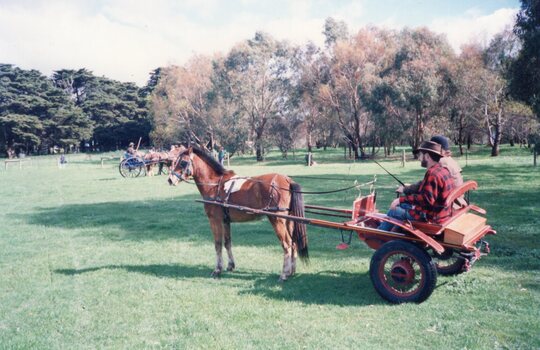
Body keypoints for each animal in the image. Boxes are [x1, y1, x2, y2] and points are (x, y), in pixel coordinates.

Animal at [168, 146, 308, 280]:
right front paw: (230, 265)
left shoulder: (215, 221)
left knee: (287, 244)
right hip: (289, 221)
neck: (215, 185)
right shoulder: (226, 221)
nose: (170, 179)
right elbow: (227, 243)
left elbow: (218, 244)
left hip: (277, 220)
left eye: (183, 162)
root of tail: (287, 180)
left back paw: (284, 274)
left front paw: (217, 270)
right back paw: (291, 271)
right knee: (293, 243)